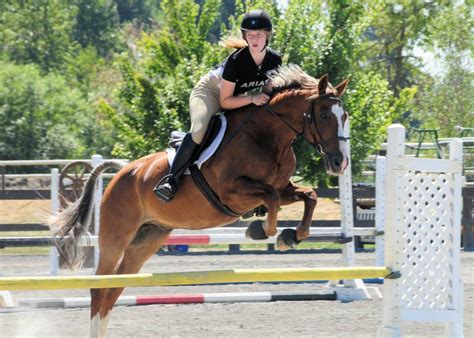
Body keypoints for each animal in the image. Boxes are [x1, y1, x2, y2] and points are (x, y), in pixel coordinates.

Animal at [51, 64, 350, 336]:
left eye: (344, 115)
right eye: (324, 115)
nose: (340, 163)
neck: (267, 137)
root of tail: (122, 172)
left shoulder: (284, 188)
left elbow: (307, 196)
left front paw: (291, 236)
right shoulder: (232, 192)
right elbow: (272, 198)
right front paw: (262, 230)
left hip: (147, 239)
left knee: (114, 288)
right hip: (116, 237)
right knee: (99, 287)